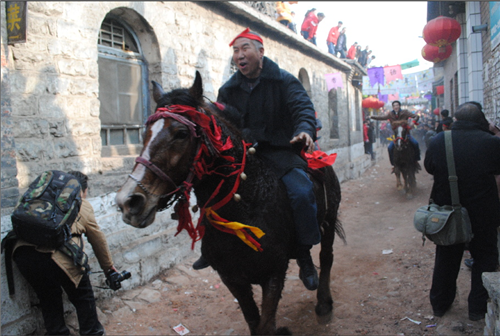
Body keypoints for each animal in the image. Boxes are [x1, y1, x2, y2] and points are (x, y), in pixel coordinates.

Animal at [115, 72, 346, 334]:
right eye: (145, 132)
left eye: (181, 133)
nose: (129, 202)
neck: (247, 204)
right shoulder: (232, 278)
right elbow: (254, 323)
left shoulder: (274, 273)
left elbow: (266, 326)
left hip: (328, 221)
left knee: (326, 257)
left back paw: (323, 303)